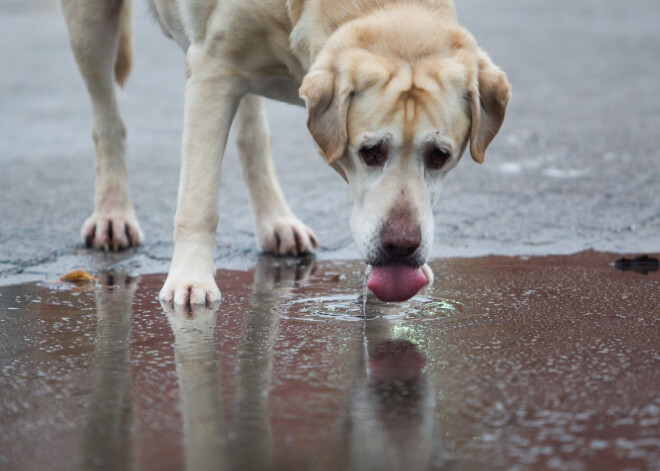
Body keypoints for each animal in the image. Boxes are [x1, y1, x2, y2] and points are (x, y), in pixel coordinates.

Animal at [60, 0, 510, 306]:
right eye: (370, 152)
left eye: (439, 156)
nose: (401, 246)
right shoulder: (212, 71)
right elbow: (199, 200)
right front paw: (191, 279)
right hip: (91, 26)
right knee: (107, 120)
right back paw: (112, 214)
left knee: (253, 137)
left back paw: (276, 222)